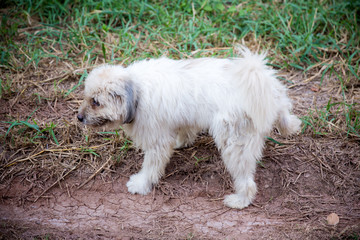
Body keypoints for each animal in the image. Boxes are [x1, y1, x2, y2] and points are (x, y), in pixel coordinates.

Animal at [78, 46, 300, 208]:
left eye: (96, 102)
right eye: (87, 97)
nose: (79, 117)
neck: (136, 92)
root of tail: (264, 85)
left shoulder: (157, 141)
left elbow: (150, 166)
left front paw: (141, 184)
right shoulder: (183, 119)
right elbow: (185, 132)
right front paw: (181, 142)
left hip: (235, 144)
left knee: (246, 181)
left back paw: (239, 201)